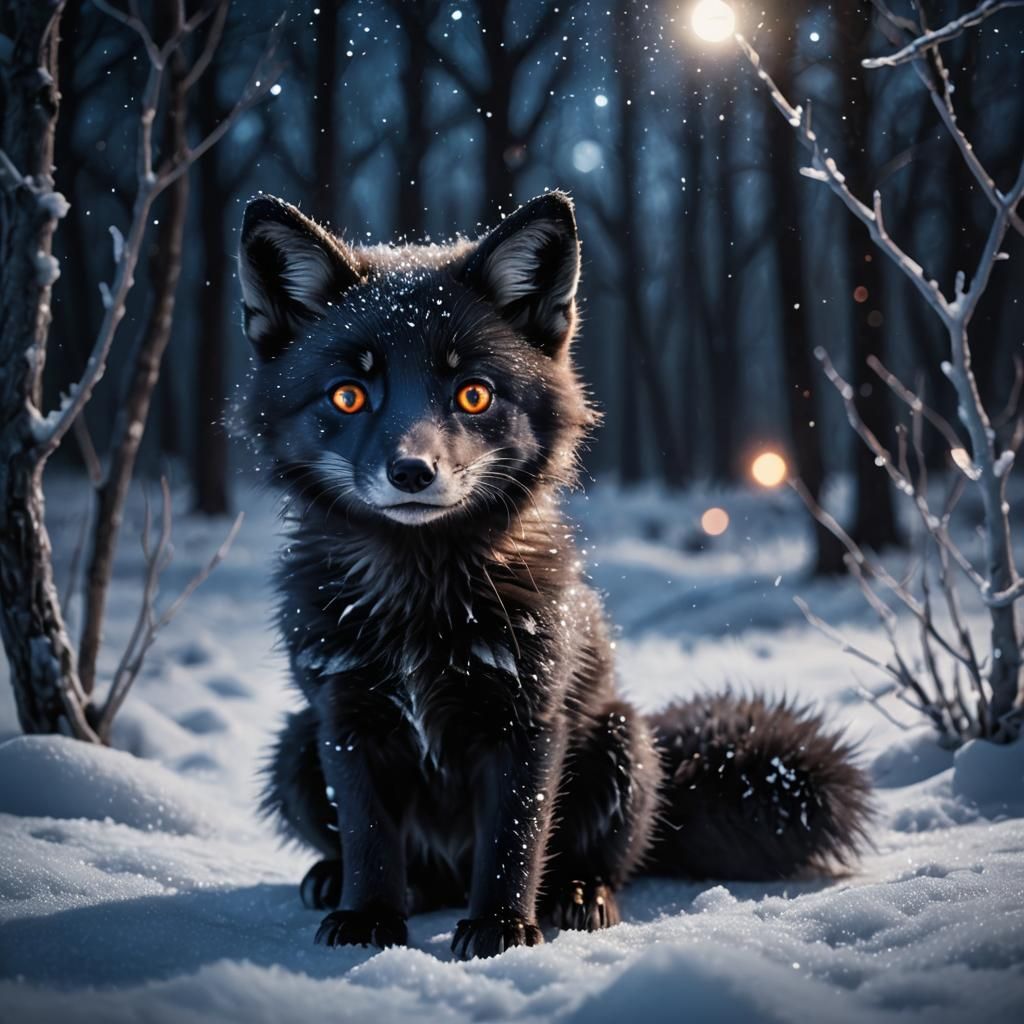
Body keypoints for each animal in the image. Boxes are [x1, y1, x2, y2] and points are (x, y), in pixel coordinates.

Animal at [237, 190, 871, 960]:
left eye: (474, 395)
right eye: (349, 396)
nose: (412, 471)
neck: (419, 604)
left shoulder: (529, 719)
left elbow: (515, 840)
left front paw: (501, 930)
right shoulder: (344, 717)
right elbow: (368, 838)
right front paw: (368, 920)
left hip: (623, 742)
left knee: (604, 861)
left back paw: (578, 895)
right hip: (294, 746)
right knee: (393, 862)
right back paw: (343, 883)